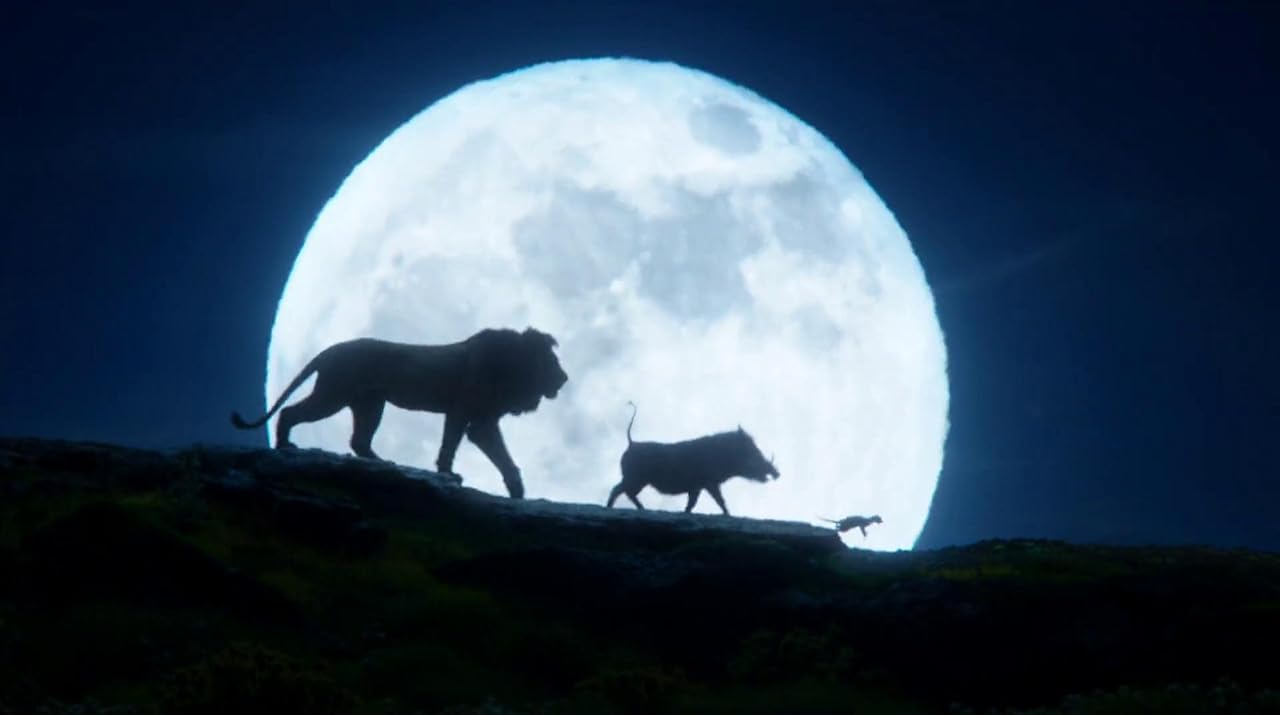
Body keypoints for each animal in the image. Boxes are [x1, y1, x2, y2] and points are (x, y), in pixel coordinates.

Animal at [231, 327, 568, 499]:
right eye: (552, 362)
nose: (564, 379)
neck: (514, 366)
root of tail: (329, 350)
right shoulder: (464, 411)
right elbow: (450, 445)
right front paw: (448, 475)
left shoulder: (482, 420)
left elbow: (500, 456)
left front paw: (517, 490)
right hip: (334, 395)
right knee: (289, 412)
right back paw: (284, 446)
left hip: (369, 404)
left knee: (359, 441)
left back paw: (384, 464)